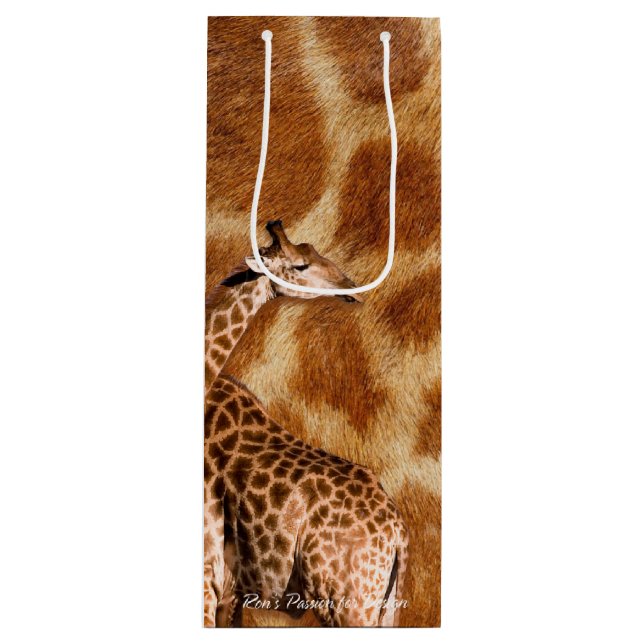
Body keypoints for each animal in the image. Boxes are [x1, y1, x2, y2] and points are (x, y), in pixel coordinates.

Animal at [204, 221, 409, 627]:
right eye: (300, 264)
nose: (350, 288)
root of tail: (397, 537)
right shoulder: (223, 588)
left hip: (350, 603)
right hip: (382, 605)